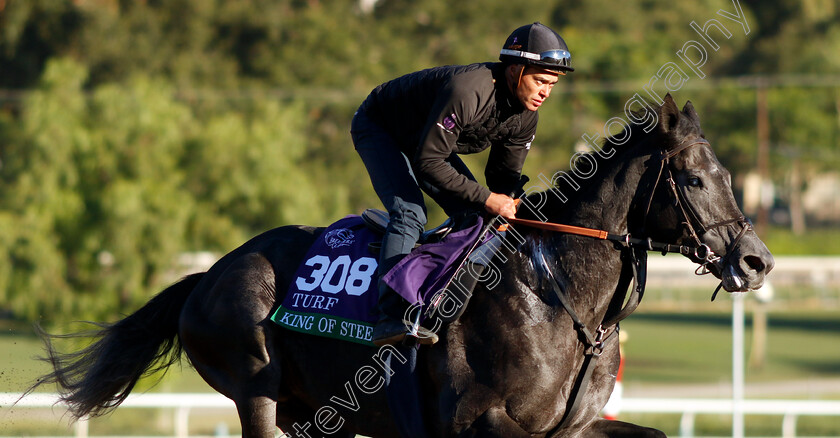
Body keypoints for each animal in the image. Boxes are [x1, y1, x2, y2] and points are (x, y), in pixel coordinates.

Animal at [31, 94, 776, 436]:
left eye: (729, 175)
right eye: (697, 180)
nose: (758, 259)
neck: (561, 298)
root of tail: (208, 276)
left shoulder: (574, 425)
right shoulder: (483, 419)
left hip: (317, 410)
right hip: (257, 391)